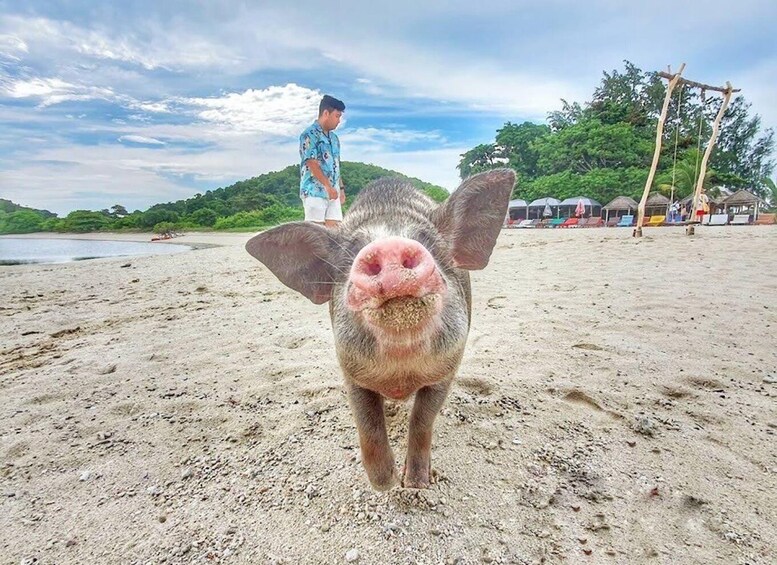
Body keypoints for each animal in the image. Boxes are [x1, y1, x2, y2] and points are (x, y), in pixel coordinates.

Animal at [245, 168, 515, 490]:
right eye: (350, 253)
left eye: (428, 241)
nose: (390, 246)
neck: (400, 371)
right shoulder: (351, 371)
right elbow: (368, 425)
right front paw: (385, 484)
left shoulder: (446, 369)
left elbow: (422, 420)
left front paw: (416, 483)